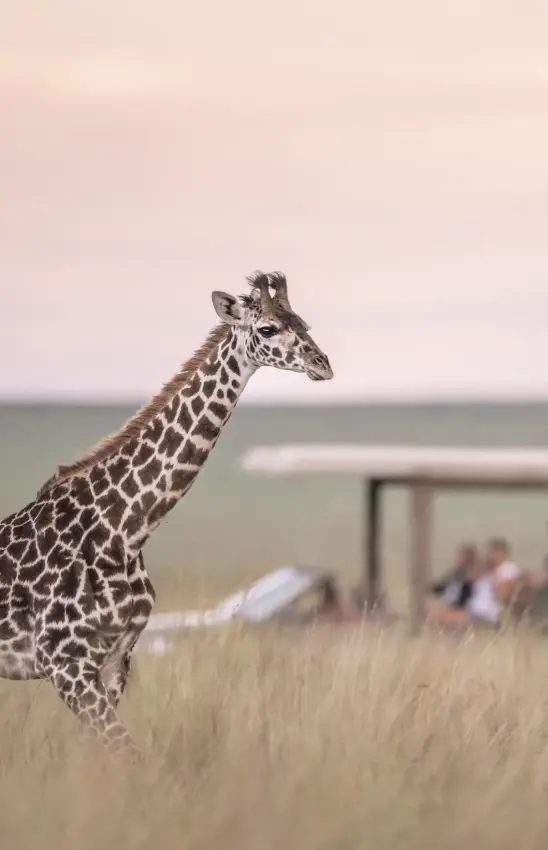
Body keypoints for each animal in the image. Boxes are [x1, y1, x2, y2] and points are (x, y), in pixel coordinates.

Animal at [0, 271, 333, 755]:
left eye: (303, 322)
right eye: (267, 328)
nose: (322, 363)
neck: (125, 530)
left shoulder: (116, 658)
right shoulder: (64, 662)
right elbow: (126, 754)